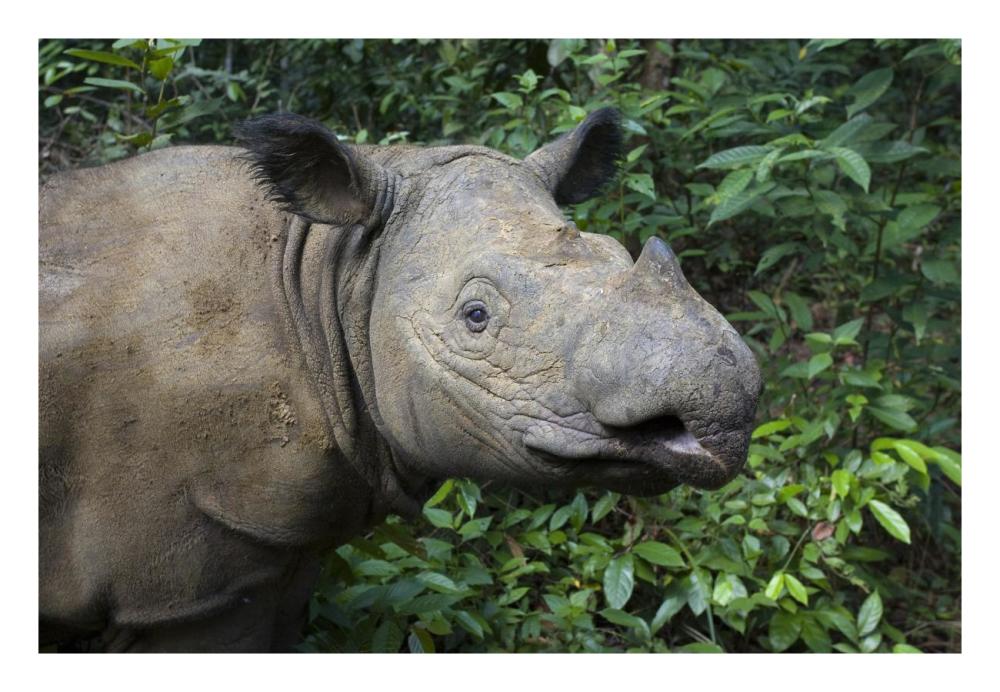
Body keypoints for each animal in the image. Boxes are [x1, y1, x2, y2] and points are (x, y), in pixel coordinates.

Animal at [39, 108, 761, 652]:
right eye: (475, 316)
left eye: (616, 255)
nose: (721, 414)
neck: (334, 272)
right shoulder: (190, 586)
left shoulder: (281, 541)